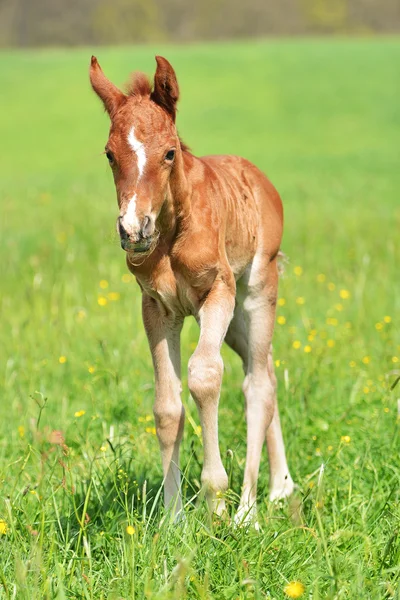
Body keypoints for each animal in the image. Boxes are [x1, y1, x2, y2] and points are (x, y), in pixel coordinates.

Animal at [90, 56, 294, 524]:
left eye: (169, 152)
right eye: (109, 154)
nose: (134, 230)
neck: (170, 233)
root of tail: (259, 179)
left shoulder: (216, 295)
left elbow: (204, 376)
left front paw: (215, 500)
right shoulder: (156, 309)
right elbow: (167, 405)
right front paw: (172, 517)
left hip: (255, 293)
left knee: (257, 384)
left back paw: (250, 510)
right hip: (236, 323)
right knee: (267, 370)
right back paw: (281, 487)